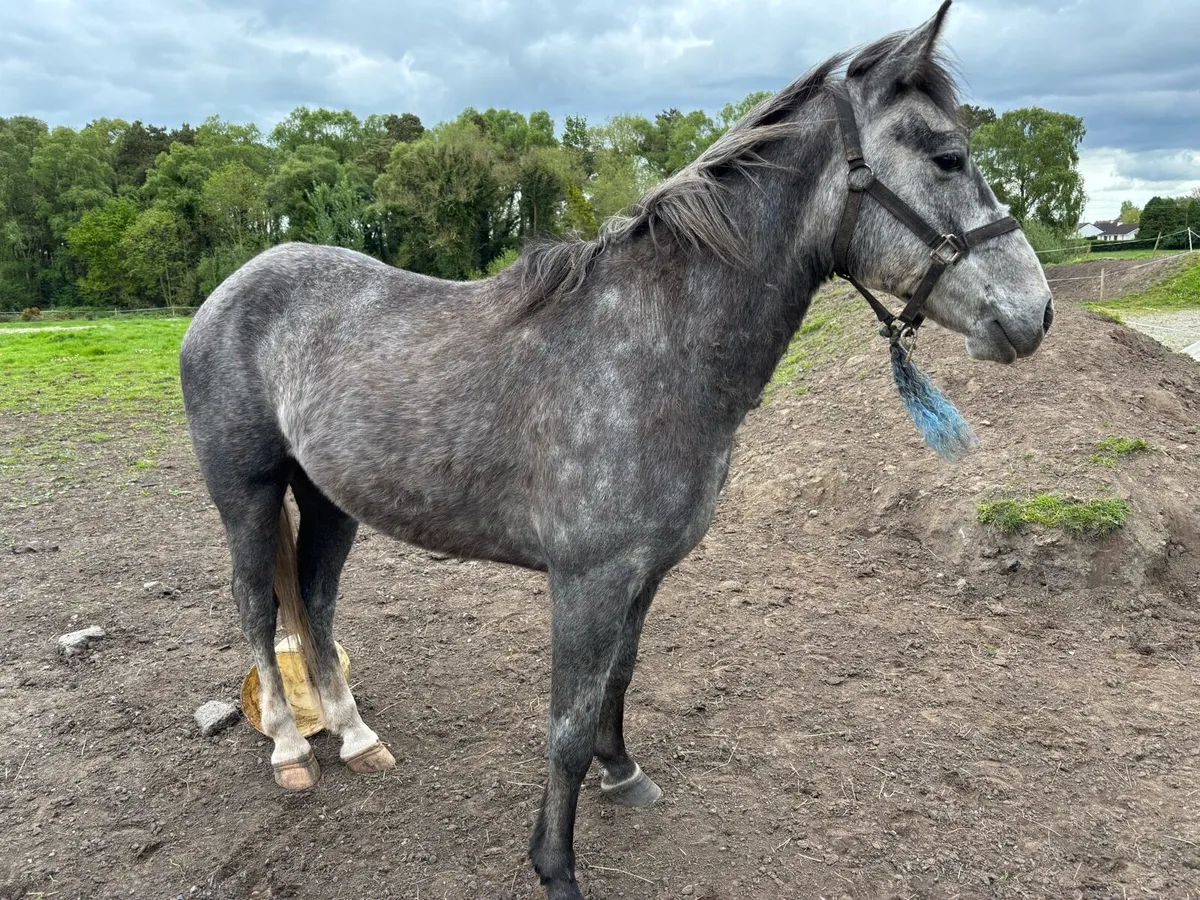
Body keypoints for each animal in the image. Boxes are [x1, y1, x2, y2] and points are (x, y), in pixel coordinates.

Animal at [179, 3, 1053, 897]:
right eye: (947, 156)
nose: (1036, 313)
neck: (653, 351)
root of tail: (235, 286)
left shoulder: (644, 573)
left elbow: (617, 683)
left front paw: (622, 770)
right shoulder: (587, 581)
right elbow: (565, 723)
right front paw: (556, 865)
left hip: (328, 499)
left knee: (316, 604)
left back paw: (356, 737)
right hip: (248, 493)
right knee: (257, 607)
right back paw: (292, 749)